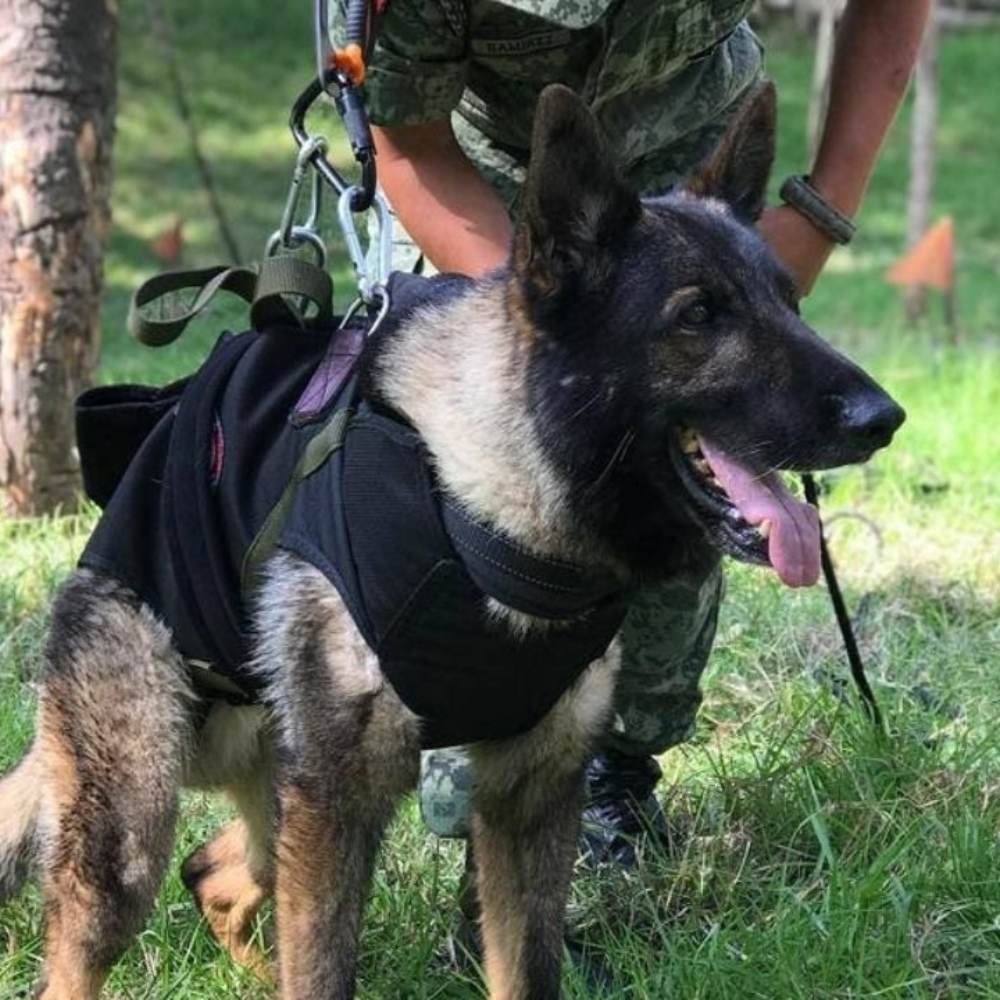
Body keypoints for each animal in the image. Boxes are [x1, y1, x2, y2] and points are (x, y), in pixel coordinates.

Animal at [0, 82, 908, 996]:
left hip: (272, 807)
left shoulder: (529, 799)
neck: (495, 512)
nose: (885, 420)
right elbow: (324, 973)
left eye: (789, 302)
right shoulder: (343, 804)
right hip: (135, 830)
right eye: (699, 315)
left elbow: (525, 967)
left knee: (214, 872)